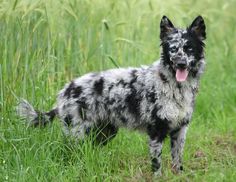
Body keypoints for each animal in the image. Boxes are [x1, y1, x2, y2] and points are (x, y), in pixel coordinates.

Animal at [18, 16, 206, 176]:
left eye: (189, 48)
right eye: (173, 49)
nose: (180, 63)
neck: (176, 87)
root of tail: (65, 90)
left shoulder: (180, 130)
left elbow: (177, 160)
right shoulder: (156, 132)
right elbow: (157, 164)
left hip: (103, 133)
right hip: (76, 134)